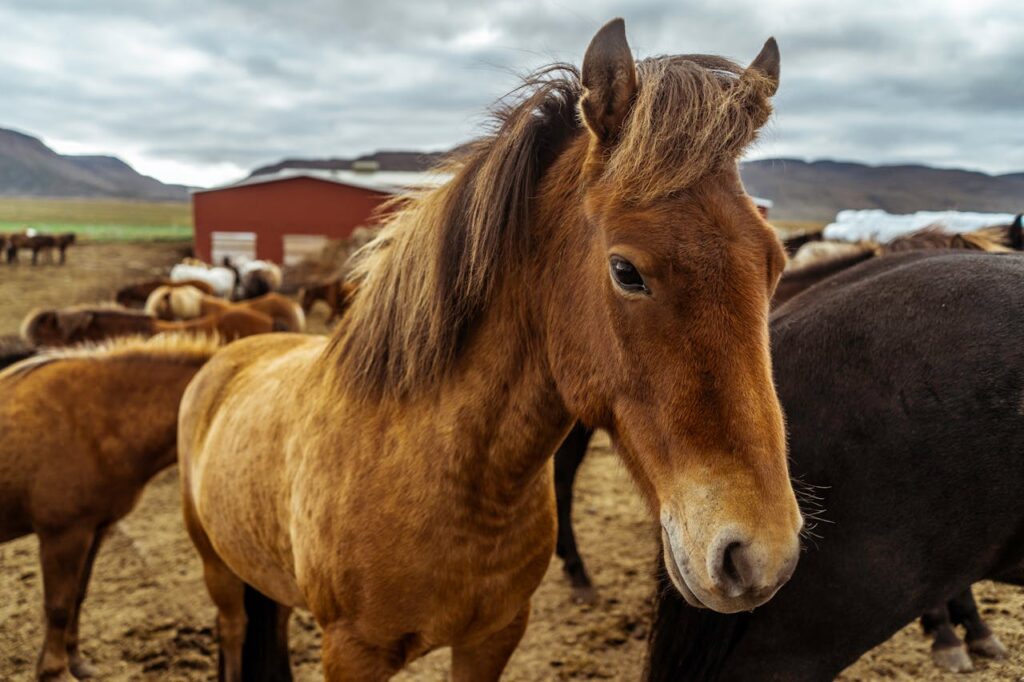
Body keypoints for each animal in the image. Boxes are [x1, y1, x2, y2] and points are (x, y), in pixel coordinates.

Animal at [0, 334, 223, 680]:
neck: (98, 419)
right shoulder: (62, 535)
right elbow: (58, 604)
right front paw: (55, 671)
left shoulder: (94, 529)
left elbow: (77, 596)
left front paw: (76, 662)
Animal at [177, 20, 802, 680]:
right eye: (626, 271)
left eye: (774, 263)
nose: (759, 555)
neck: (452, 481)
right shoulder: (353, 653)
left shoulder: (493, 637)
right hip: (217, 571)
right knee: (233, 630)